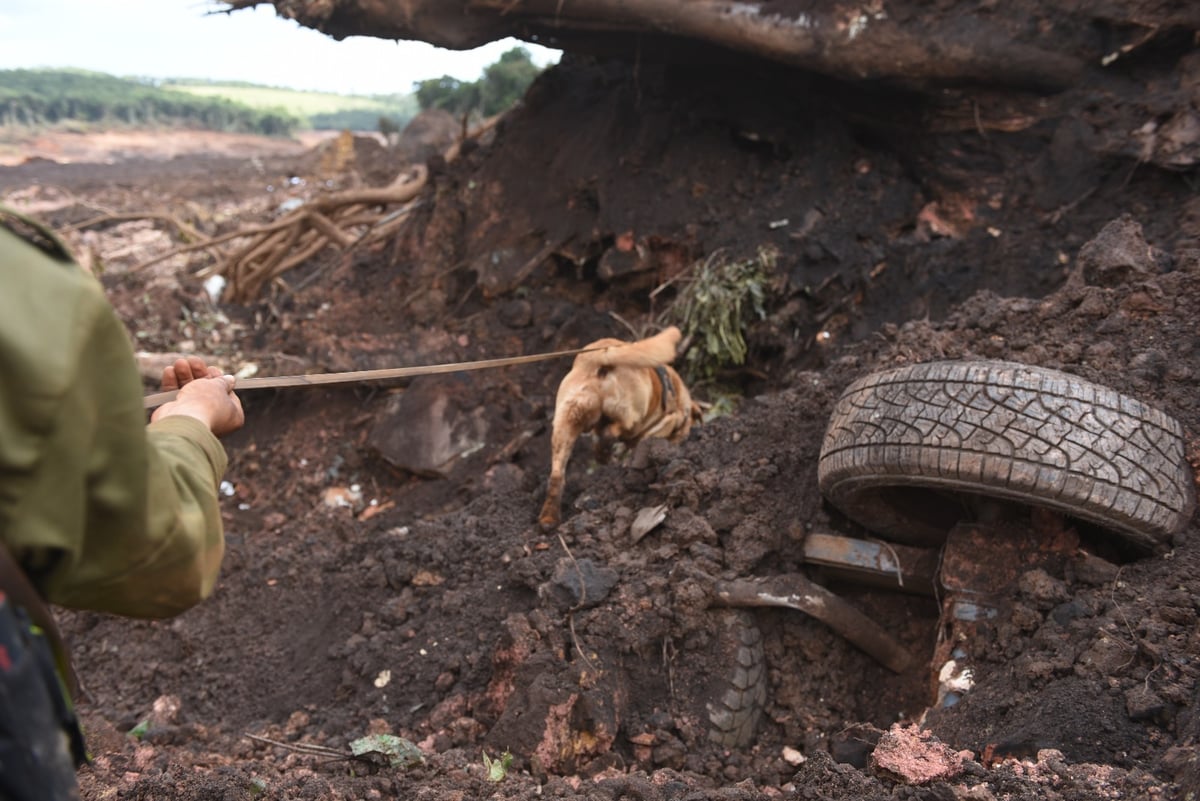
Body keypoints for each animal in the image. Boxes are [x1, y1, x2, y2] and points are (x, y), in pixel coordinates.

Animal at [537, 323, 700, 525]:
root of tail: (602, 356)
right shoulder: (662, 425)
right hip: (631, 410)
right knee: (613, 431)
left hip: (565, 423)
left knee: (558, 474)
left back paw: (549, 518)